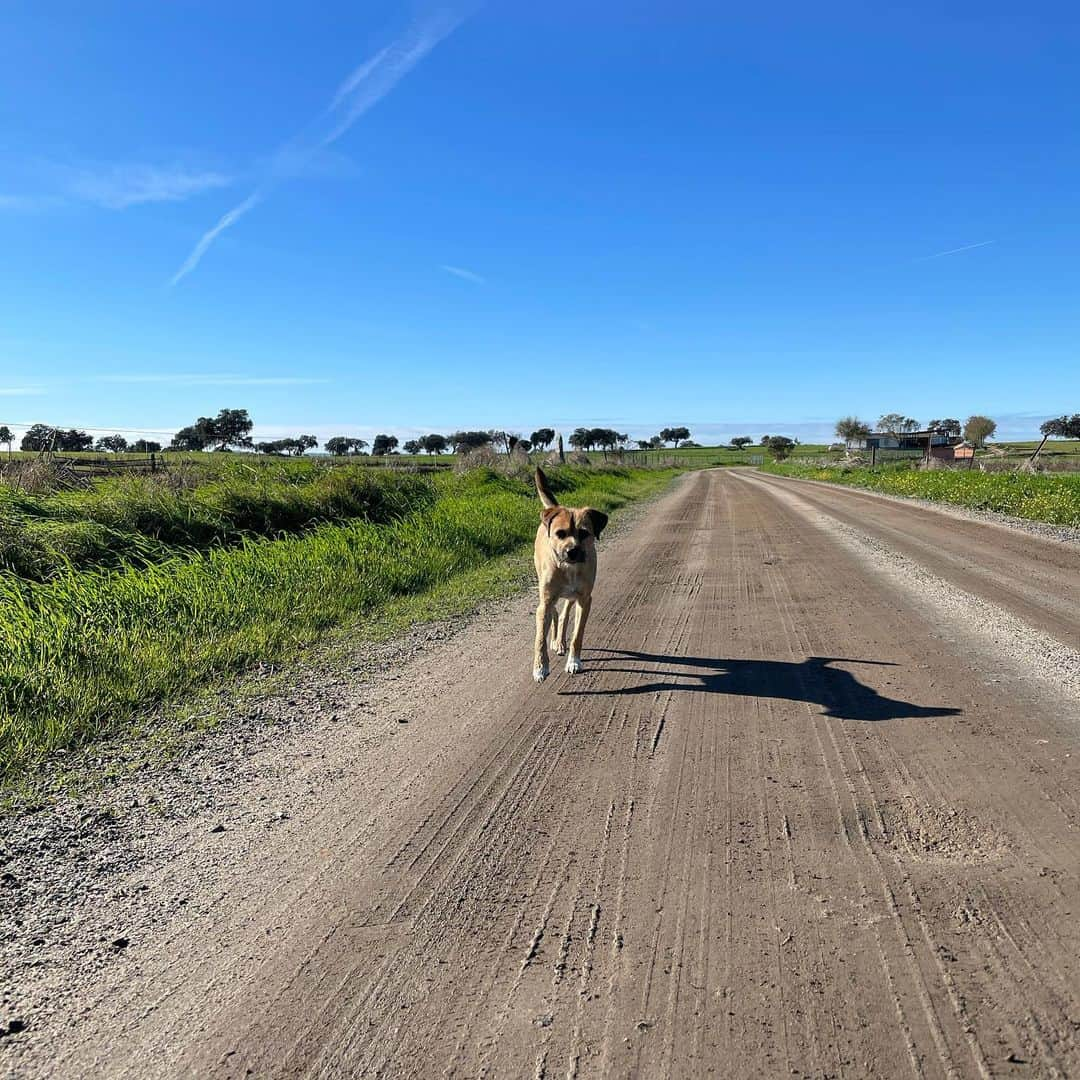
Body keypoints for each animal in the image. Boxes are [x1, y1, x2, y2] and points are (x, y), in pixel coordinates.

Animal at [531, 466, 609, 682]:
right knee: (555, 613)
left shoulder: (585, 600)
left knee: (564, 613)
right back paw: (555, 641)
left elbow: (577, 635)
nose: (572, 551)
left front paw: (574, 661)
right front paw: (540, 667)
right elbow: (539, 639)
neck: (568, 568)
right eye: (560, 533)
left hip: (572, 596)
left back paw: (560, 641)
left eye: (584, 533)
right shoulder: (545, 602)